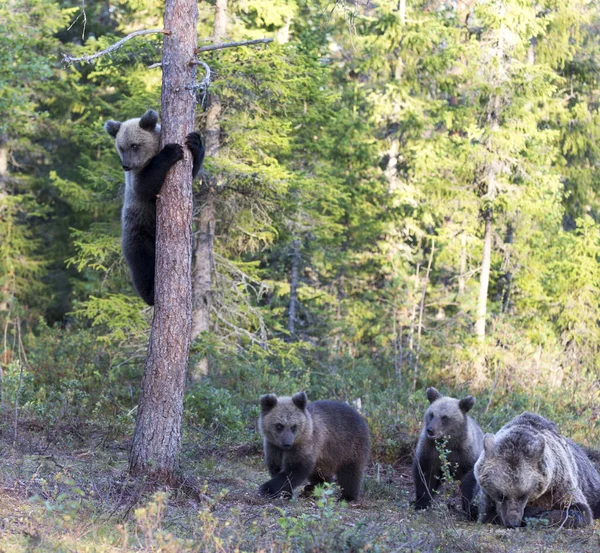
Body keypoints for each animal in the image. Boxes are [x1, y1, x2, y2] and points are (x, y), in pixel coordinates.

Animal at [104, 109, 205, 304]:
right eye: (121, 147)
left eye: (134, 145)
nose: (125, 165)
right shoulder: (136, 181)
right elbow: (145, 185)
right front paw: (171, 151)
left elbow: (192, 171)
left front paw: (195, 142)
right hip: (138, 230)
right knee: (142, 262)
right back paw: (150, 293)